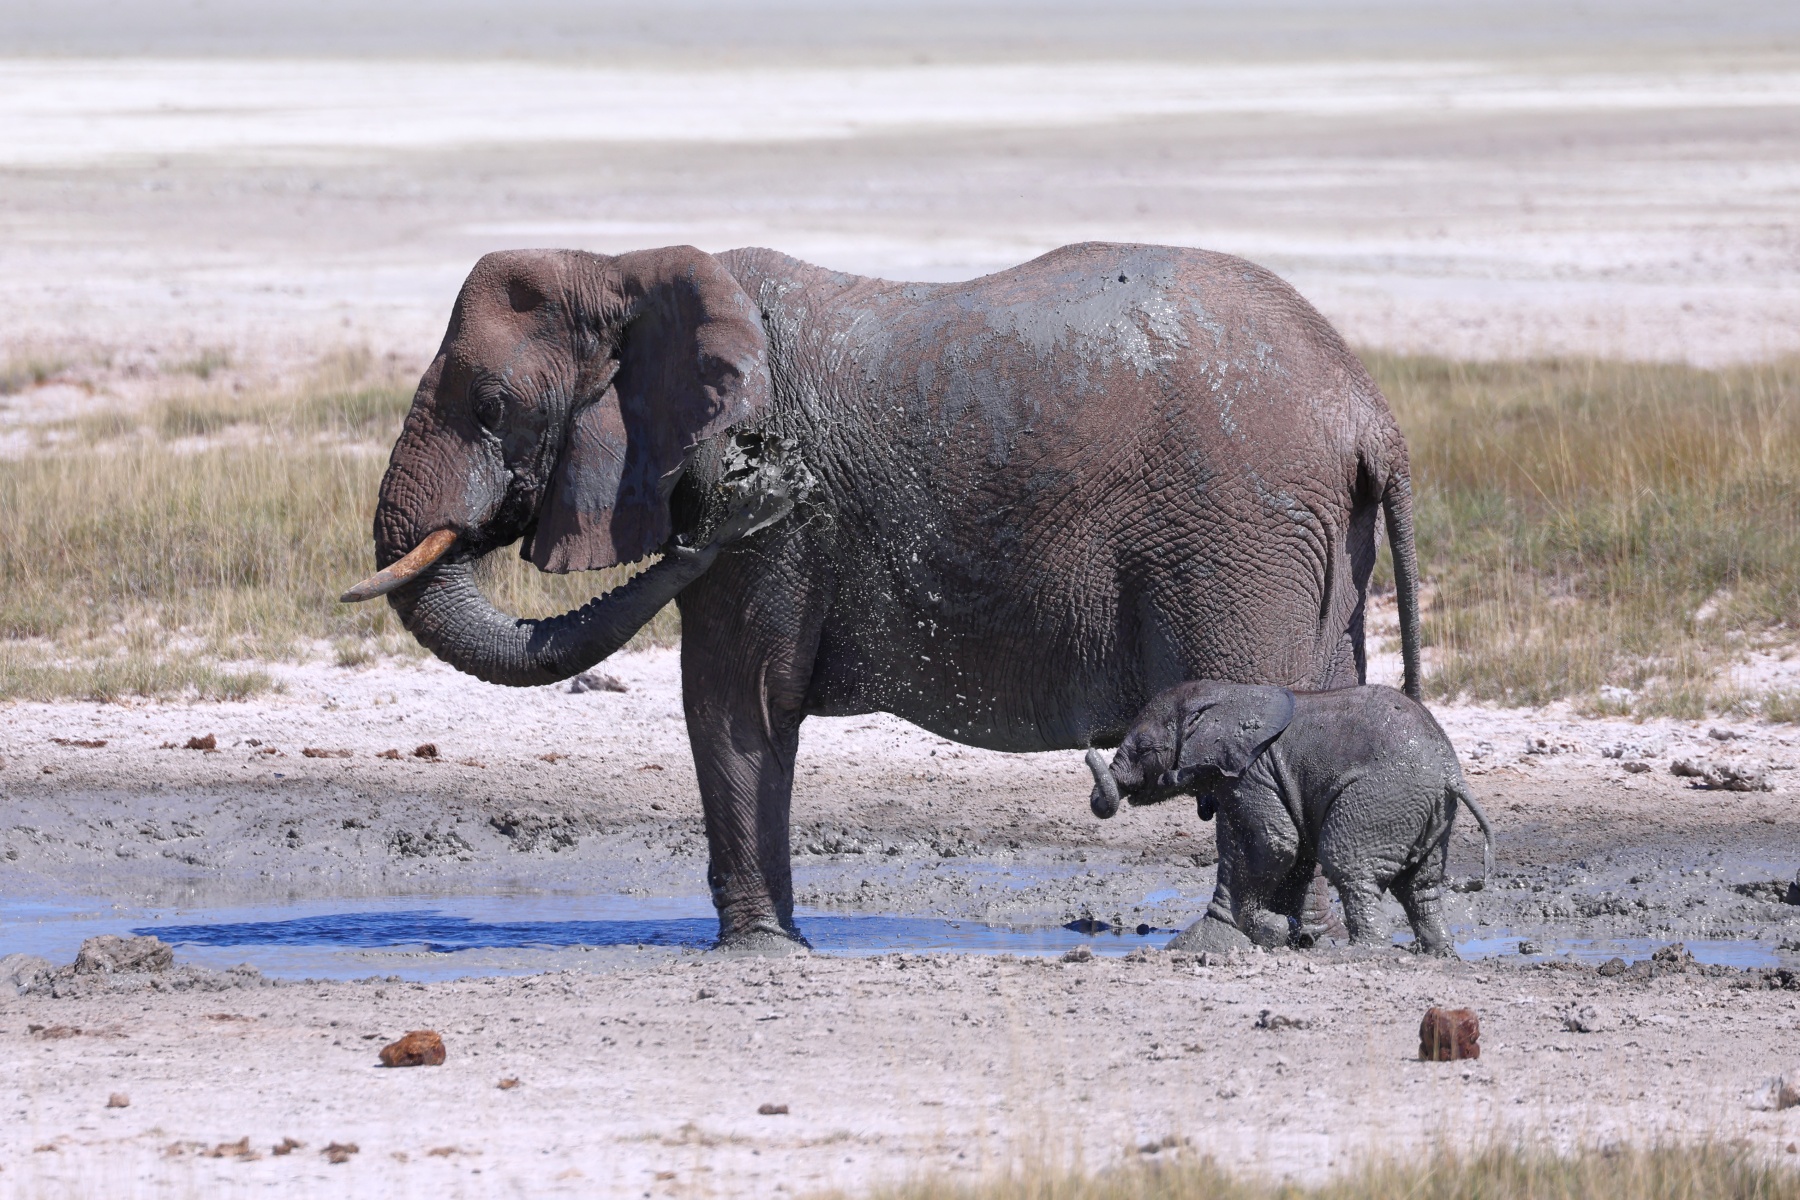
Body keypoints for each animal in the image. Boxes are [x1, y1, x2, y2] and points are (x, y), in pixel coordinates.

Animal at [342, 240, 1424, 951]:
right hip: (1312, 548)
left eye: (490, 406)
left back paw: (1217, 949)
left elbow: (735, 702)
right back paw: (1303, 946)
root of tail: (1368, 409)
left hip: (1241, 532)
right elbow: (744, 707)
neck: (620, 264)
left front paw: (759, 956)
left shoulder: (772, 543)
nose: (767, 484)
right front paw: (778, 950)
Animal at [1086, 680, 1493, 955]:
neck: (1225, 696)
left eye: (1144, 750)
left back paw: (1361, 951)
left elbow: (1273, 844)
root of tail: (1449, 771)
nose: (1089, 746)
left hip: (1382, 798)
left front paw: (1267, 930)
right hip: (1430, 811)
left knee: (1351, 869)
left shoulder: (1252, 774)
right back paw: (1438, 952)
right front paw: (1285, 934)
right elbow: (1289, 856)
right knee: (1420, 886)